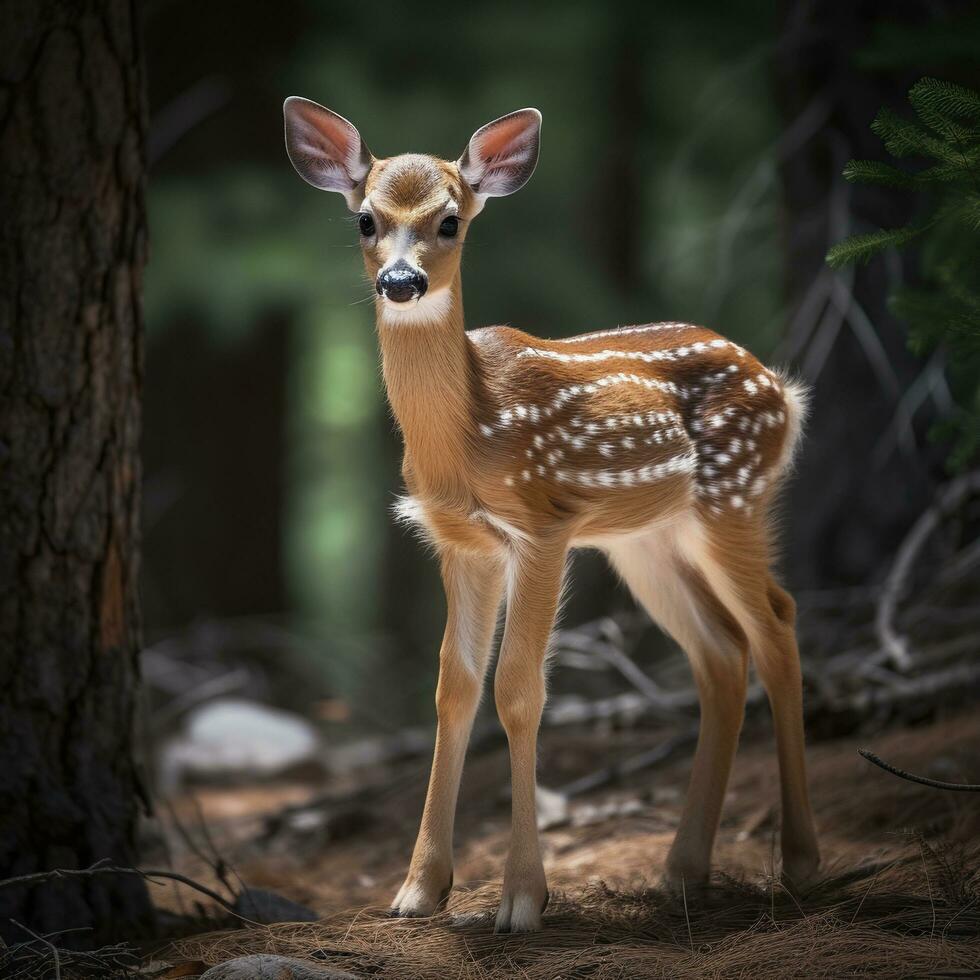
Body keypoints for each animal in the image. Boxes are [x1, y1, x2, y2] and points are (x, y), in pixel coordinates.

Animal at [284, 99, 820, 936]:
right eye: (366, 220)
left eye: (449, 221)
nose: (402, 282)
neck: (468, 432)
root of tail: (783, 390)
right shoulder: (462, 544)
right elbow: (454, 687)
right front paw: (417, 890)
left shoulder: (544, 524)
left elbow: (518, 689)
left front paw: (521, 899)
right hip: (646, 540)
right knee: (723, 652)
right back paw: (683, 871)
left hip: (734, 495)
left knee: (777, 624)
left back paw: (798, 862)